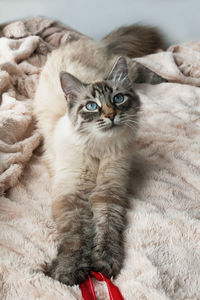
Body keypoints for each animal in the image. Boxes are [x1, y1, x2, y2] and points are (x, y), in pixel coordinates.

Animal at [33, 24, 166, 286]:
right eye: (92, 106)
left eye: (118, 99)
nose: (111, 116)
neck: (99, 148)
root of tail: (87, 42)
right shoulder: (73, 195)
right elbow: (76, 237)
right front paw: (70, 270)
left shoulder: (108, 192)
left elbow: (106, 229)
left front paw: (103, 264)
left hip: (121, 66)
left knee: (138, 66)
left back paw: (166, 79)